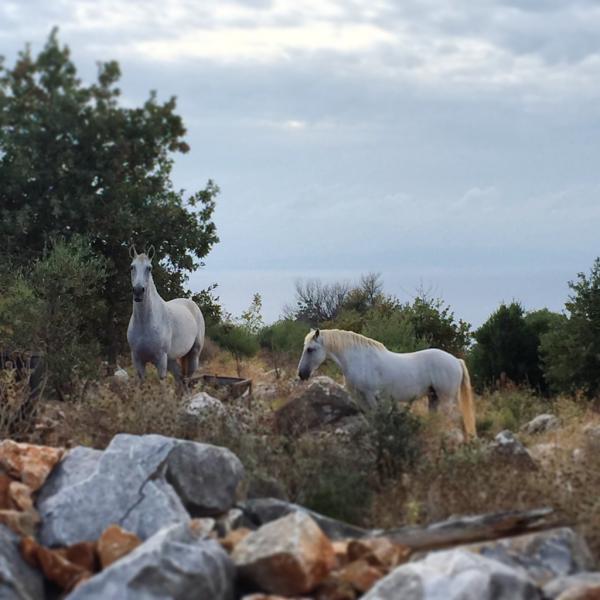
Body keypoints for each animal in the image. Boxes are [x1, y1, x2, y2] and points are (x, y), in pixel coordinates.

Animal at [125, 246, 205, 382]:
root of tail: (193, 305)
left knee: (187, 379)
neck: (145, 322)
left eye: (149, 268)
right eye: (132, 267)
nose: (138, 291)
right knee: (180, 380)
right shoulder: (137, 360)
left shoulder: (161, 360)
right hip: (172, 360)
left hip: (194, 355)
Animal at [298, 330, 476, 438]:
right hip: (433, 398)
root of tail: (456, 360)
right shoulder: (361, 398)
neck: (359, 360)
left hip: (446, 399)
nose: (301, 374)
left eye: (310, 349)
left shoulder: (370, 395)